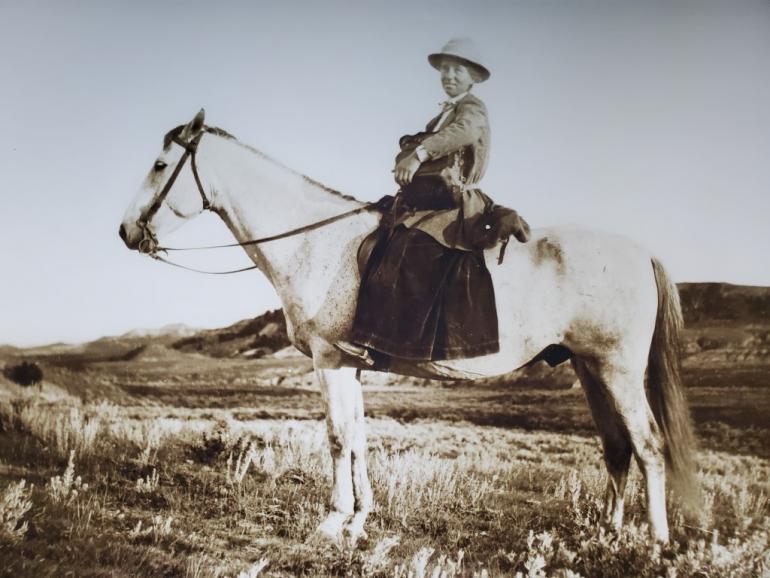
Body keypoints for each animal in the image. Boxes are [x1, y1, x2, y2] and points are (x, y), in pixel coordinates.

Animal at [118, 110, 696, 544]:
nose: (125, 231)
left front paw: (332, 520)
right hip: (590, 369)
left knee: (647, 445)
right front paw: (358, 519)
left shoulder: (329, 360)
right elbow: (357, 437)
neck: (313, 242)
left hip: (617, 370)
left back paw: (654, 541)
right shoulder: (349, 364)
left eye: (160, 164)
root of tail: (641, 253)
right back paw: (608, 531)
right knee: (617, 446)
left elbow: (336, 436)